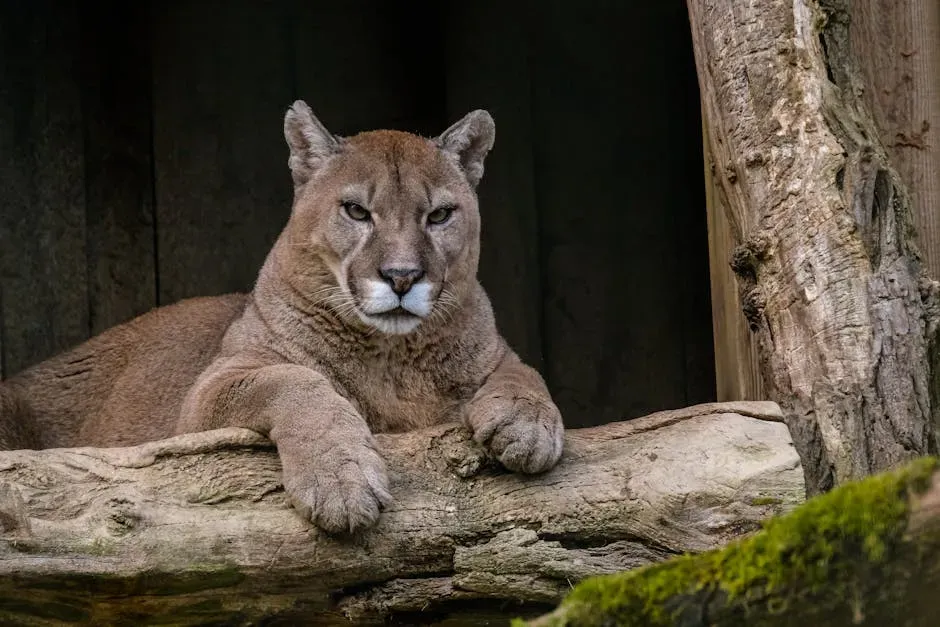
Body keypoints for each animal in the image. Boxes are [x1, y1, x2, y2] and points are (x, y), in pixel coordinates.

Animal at [0, 101, 565, 534]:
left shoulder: (495, 352)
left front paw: (529, 427)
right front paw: (340, 479)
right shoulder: (208, 394)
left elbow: (524, 371)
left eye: (440, 215)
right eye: (356, 211)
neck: (392, 357)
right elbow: (292, 380)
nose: (402, 276)